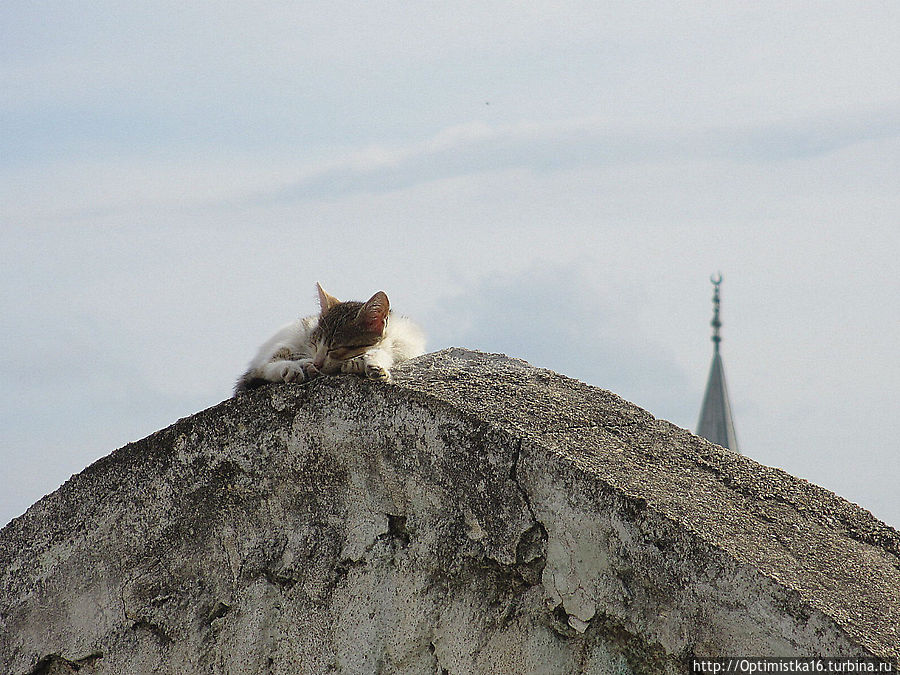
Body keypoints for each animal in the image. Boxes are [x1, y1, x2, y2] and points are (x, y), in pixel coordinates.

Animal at [236, 282, 426, 396]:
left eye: (334, 348)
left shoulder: (408, 346)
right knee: (263, 367)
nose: (318, 362)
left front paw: (367, 363)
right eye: (314, 344)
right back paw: (296, 367)